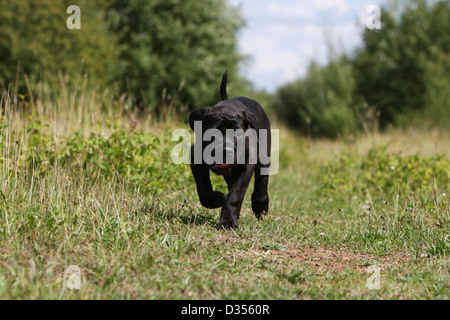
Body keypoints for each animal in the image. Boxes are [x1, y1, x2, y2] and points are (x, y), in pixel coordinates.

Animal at [190, 71, 270, 229]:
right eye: (213, 133)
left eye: (238, 134)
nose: (225, 151)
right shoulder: (195, 158)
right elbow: (203, 188)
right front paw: (217, 199)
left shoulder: (247, 166)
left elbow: (235, 195)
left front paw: (228, 223)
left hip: (264, 157)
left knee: (262, 181)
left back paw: (260, 205)